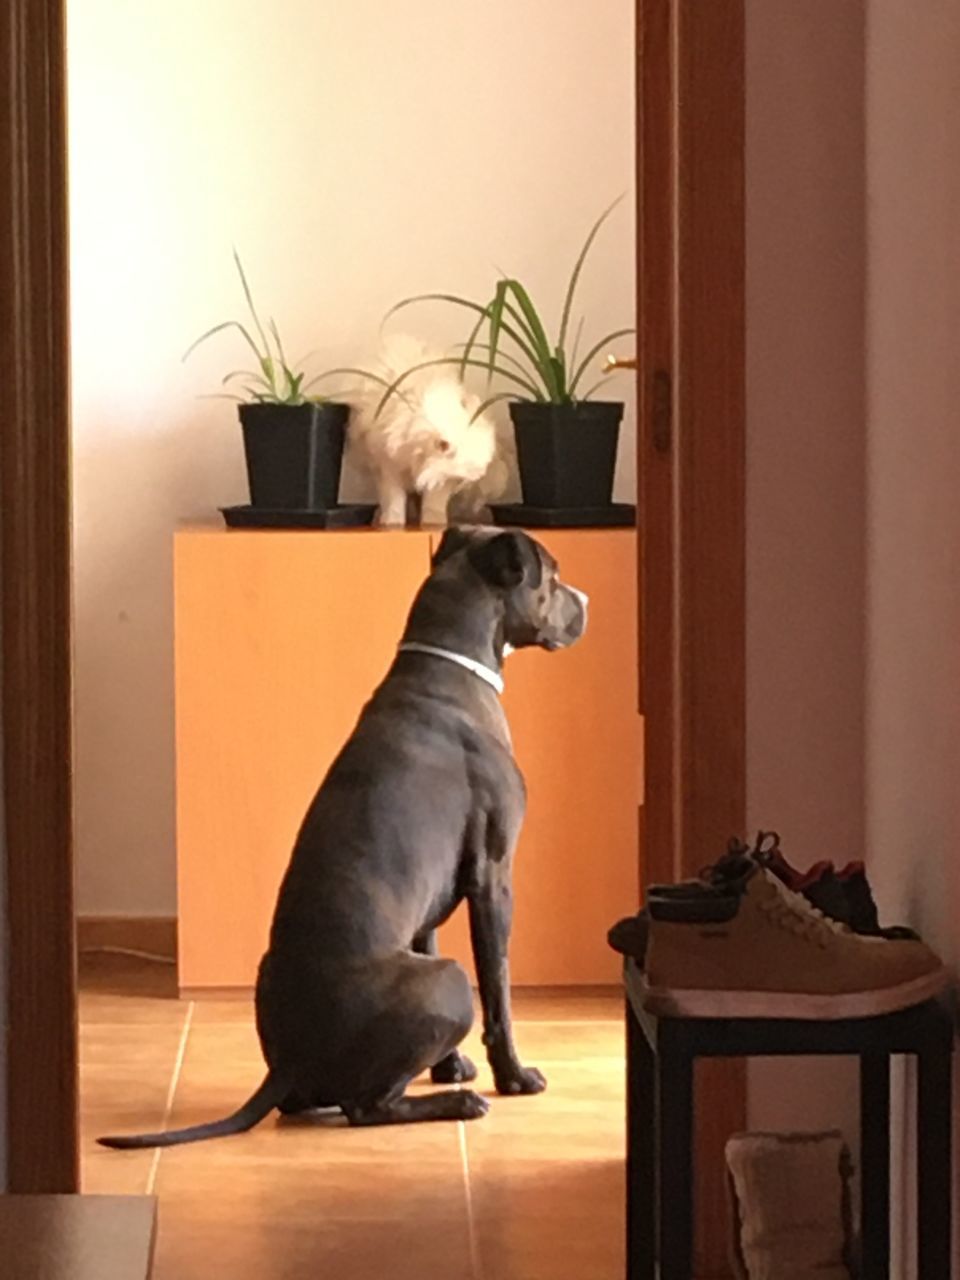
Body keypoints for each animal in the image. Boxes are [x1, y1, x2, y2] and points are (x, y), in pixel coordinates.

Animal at [101, 524, 591, 1146]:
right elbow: (499, 989)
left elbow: (429, 941)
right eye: (552, 578)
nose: (587, 601)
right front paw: (513, 1076)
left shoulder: (427, 906)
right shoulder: (494, 878)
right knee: (367, 1106)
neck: (451, 666)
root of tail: (289, 1060)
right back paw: (457, 1104)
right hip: (449, 982)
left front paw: (449, 1066)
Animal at [350, 335, 506, 529]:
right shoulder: (388, 466)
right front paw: (392, 524)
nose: (478, 473)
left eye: (458, 481)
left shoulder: (439, 482)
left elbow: (433, 504)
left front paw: (433, 524)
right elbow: (394, 498)